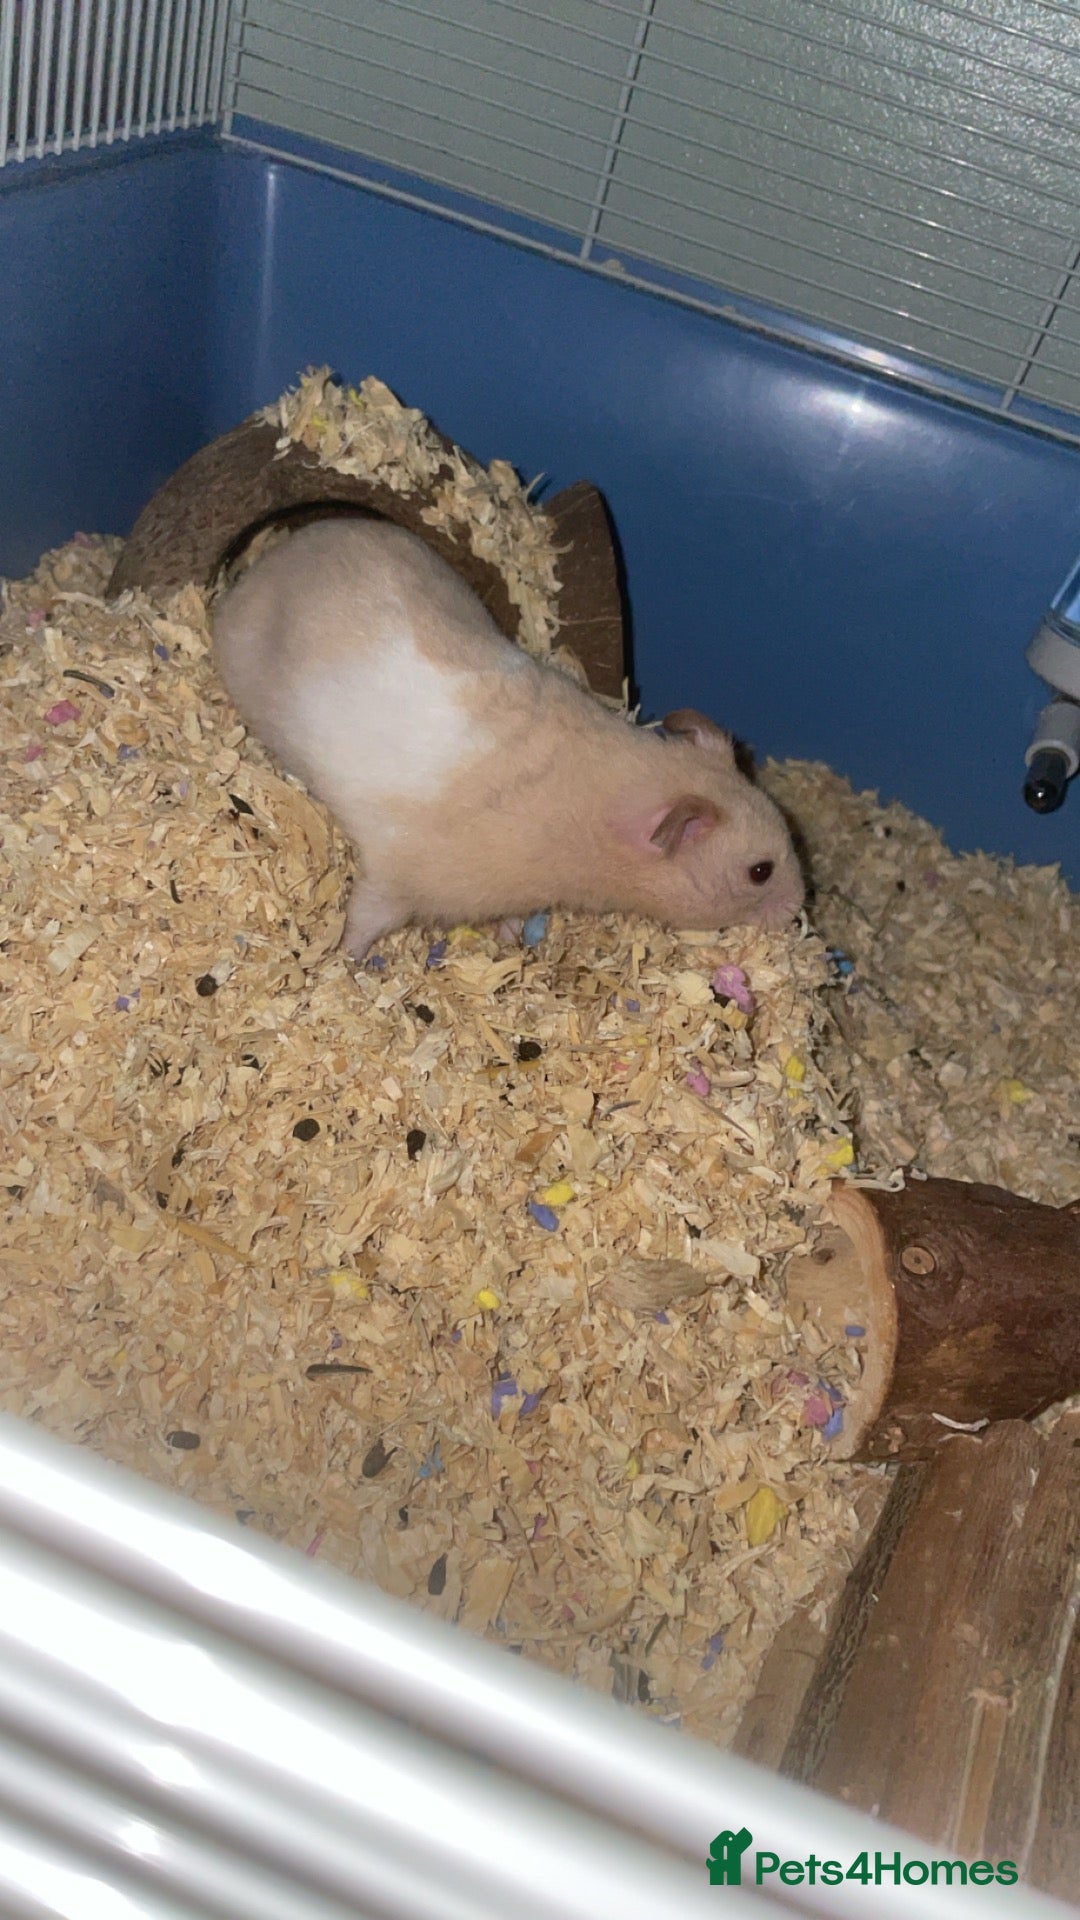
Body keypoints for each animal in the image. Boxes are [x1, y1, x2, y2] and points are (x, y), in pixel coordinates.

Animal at [212, 518, 804, 957]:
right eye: (760, 872)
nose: (799, 908)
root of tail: (269, 558)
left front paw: (512, 934)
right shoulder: (396, 879)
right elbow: (367, 915)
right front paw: (344, 959)